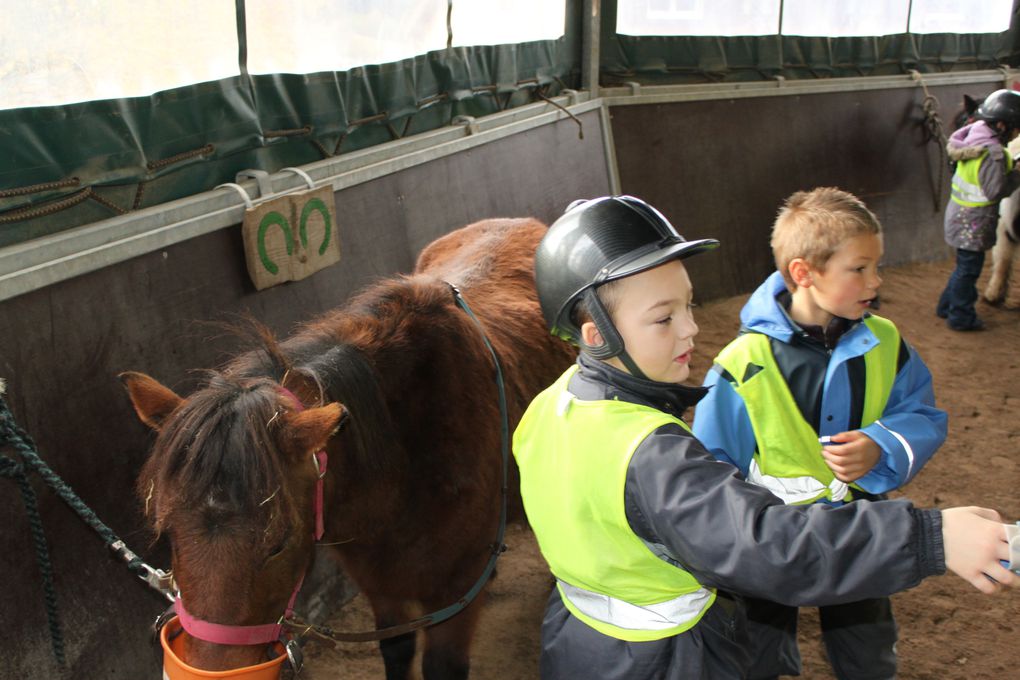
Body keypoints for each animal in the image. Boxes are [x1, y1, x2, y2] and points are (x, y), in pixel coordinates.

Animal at [119, 219, 579, 680]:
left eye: (279, 543)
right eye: (168, 533)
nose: (205, 668)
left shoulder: (455, 591)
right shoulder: (380, 583)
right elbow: (396, 648)